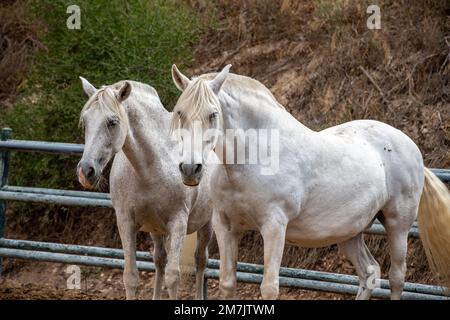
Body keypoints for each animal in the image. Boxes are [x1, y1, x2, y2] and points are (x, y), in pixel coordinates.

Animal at [77, 78, 214, 300]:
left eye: (112, 122)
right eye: (86, 121)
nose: (85, 171)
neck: (149, 167)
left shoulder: (178, 223)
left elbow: (173, 278)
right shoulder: (126, 222)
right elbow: (131, 277)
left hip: (206, 224)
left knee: (201, 260)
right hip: (156, 230)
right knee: (159, 260)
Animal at [168, 65, 450, 300]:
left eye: (213, 115)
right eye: (180, 113)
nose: (190, 169)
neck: (254, 157)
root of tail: (409, 144)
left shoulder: (274, 227)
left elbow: (269, 288)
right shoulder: (225, 226)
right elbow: (227, 283)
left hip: (398, 224)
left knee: (396, 278)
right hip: (350, 232)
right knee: (369, 273)